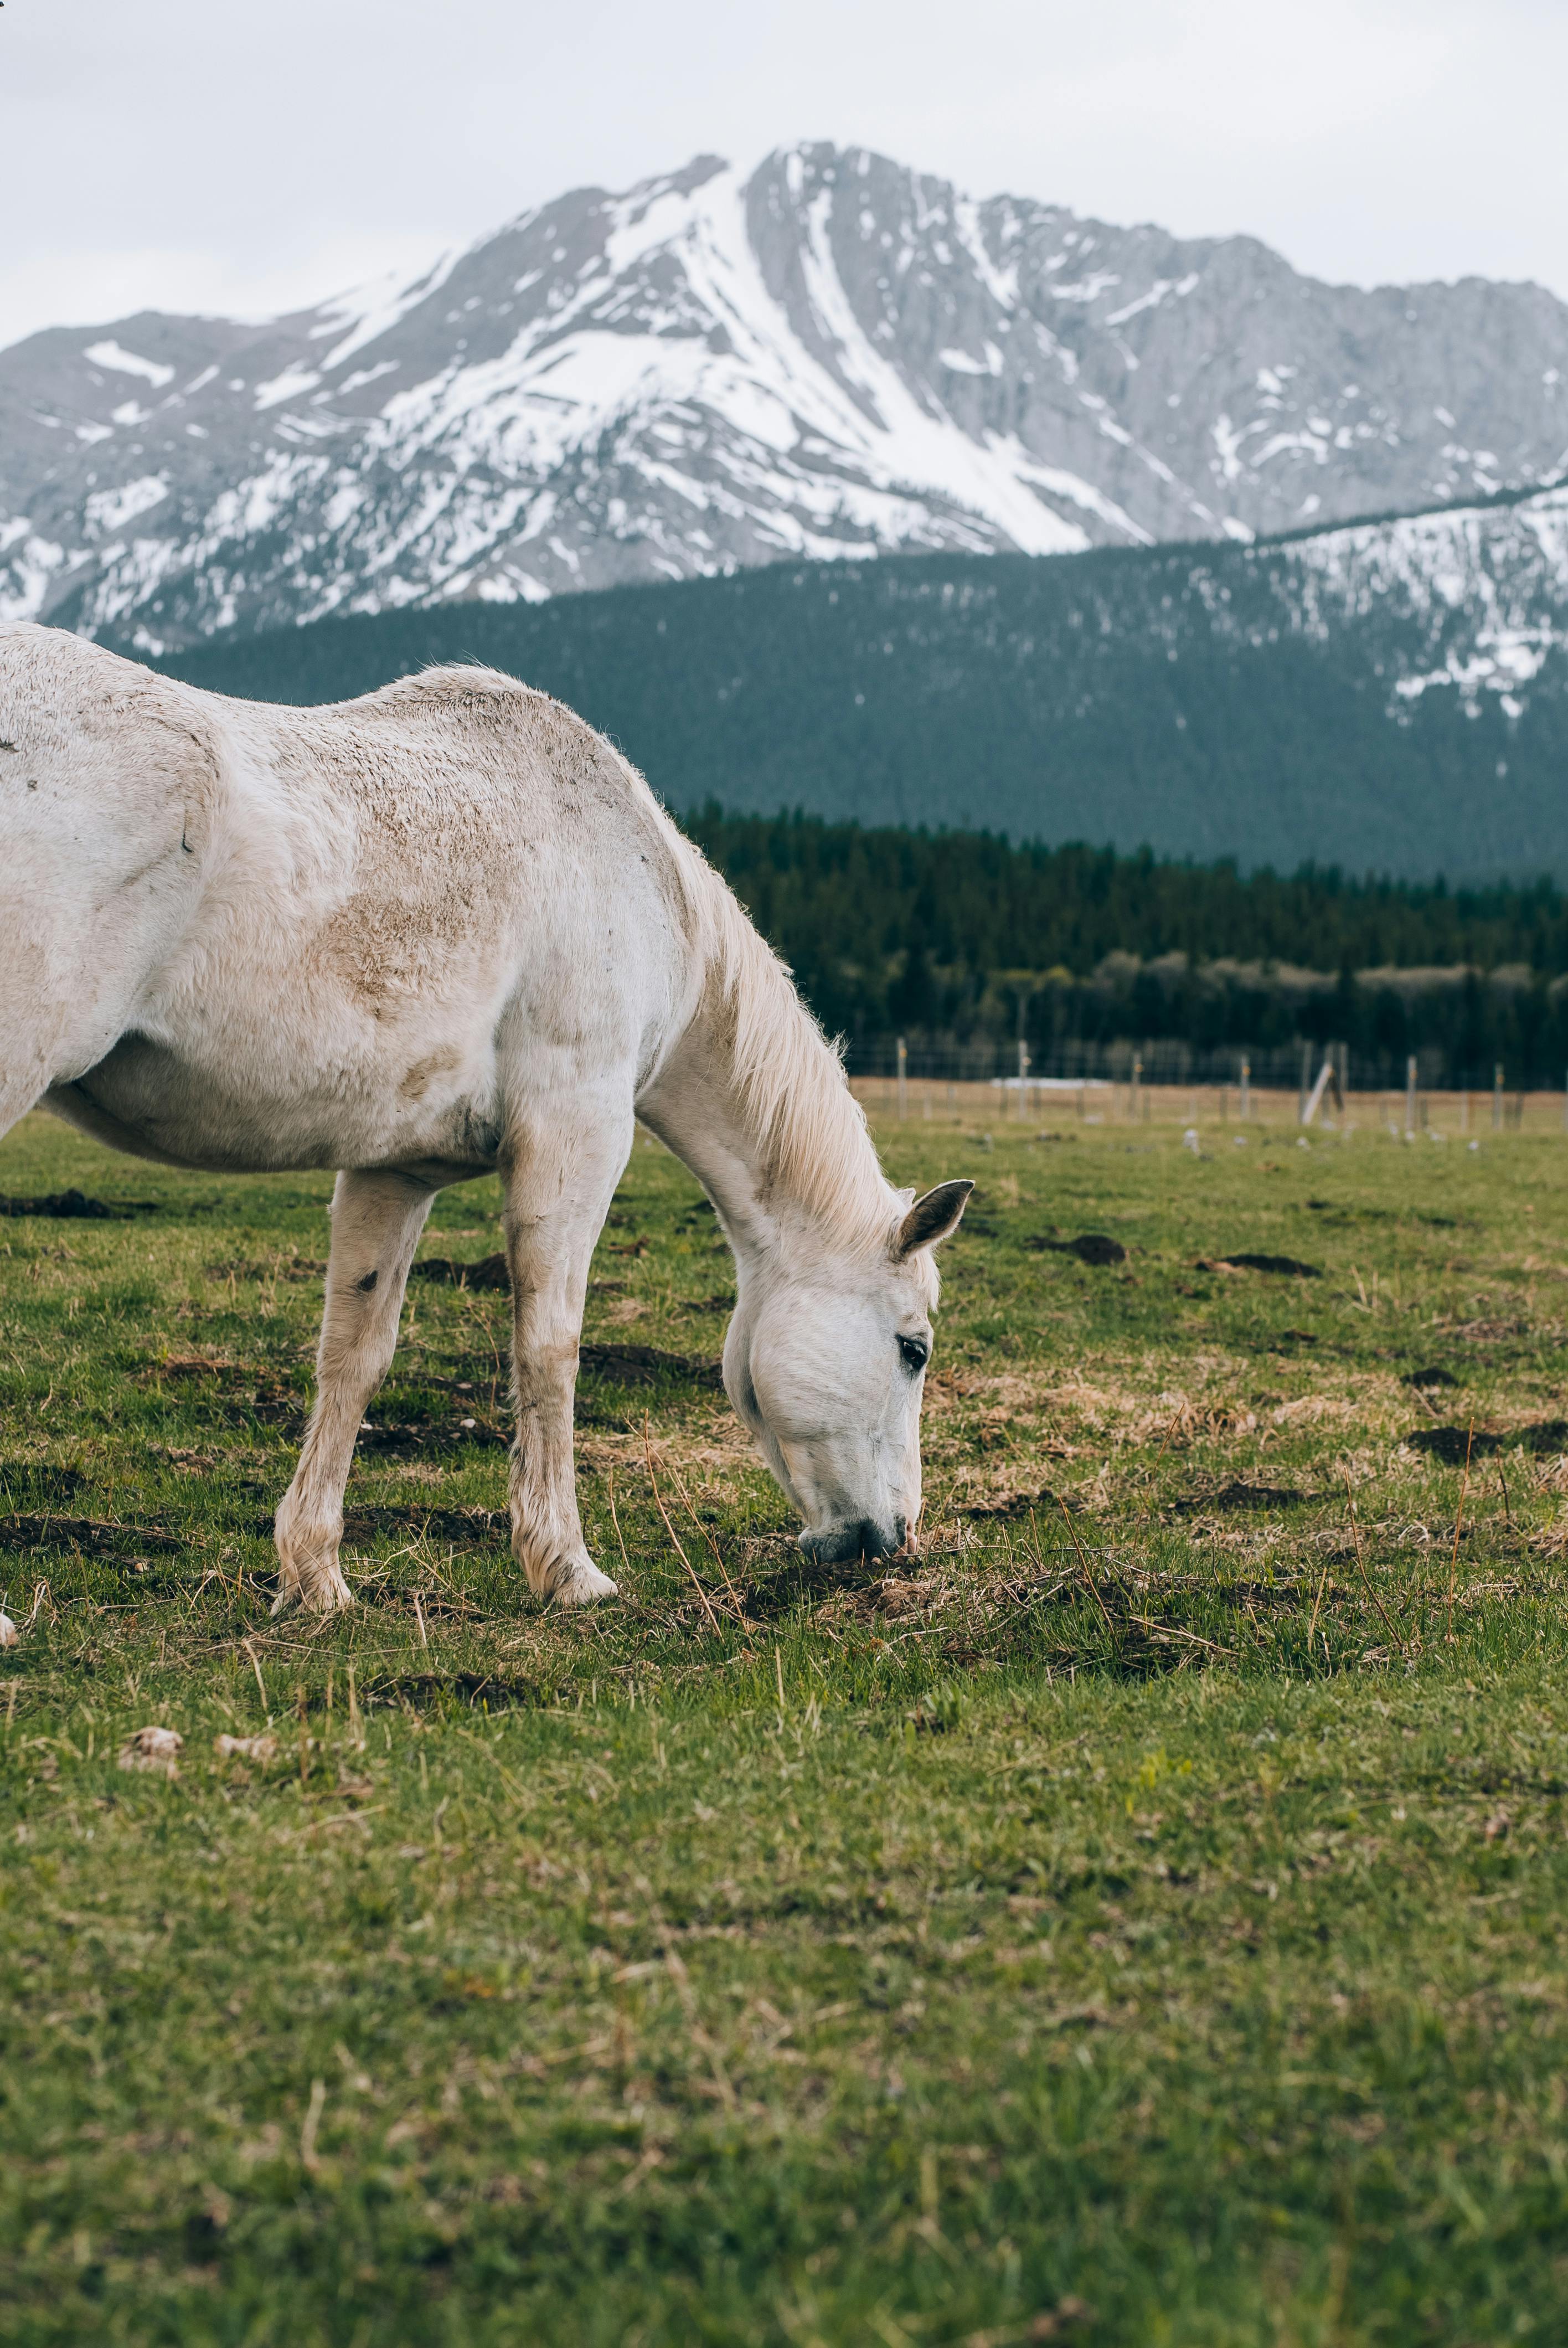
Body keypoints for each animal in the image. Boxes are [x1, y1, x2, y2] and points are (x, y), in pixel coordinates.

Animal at [0, 621, 972, 1610]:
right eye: (913, 1350)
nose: (891, 1538)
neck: (636, 880)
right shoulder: (575, 1131)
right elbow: (550, 1346)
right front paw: (566, 1568)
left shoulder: (394, 1169)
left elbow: (354, 1353)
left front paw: (316, 1577)